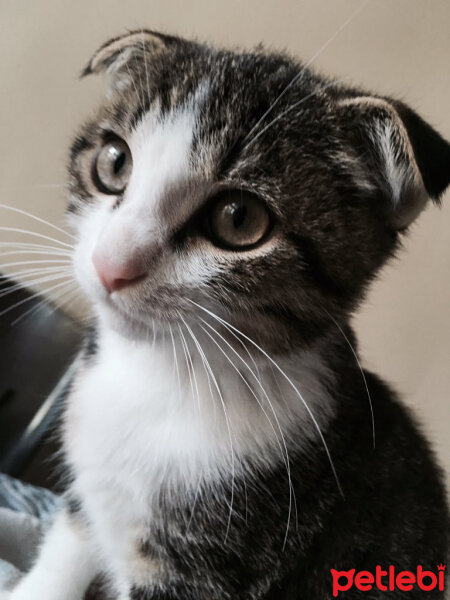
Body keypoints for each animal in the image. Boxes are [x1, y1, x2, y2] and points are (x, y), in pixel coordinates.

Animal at [7, 31, 450, 600]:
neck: (158, 374)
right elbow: (66, 551)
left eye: (238, 219)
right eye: (114, 162)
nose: (111, 265)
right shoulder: (90, 492)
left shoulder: (211, 567)